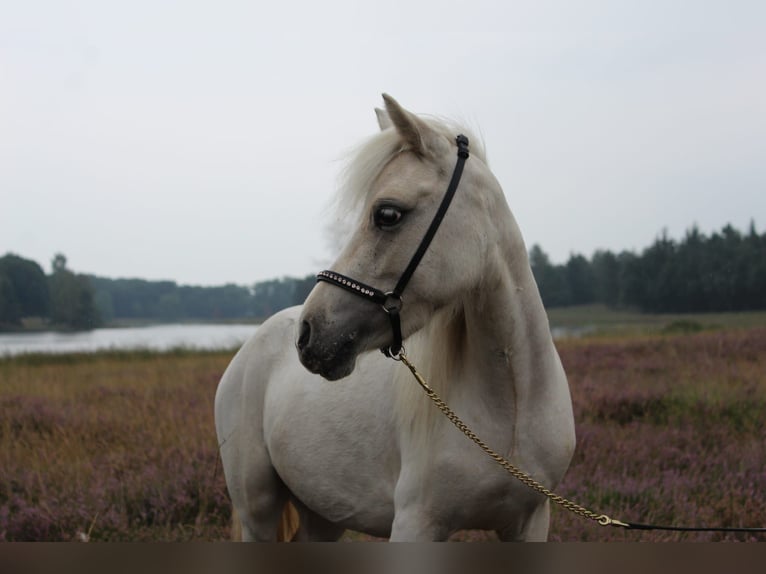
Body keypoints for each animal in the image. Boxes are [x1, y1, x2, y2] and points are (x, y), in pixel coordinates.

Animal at [214, 95, 576, 544]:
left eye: (387, 214)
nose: (310, 335)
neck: (510, 409)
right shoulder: (416, 524)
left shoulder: (531, 521)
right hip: (257, 513)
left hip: (322, 514)